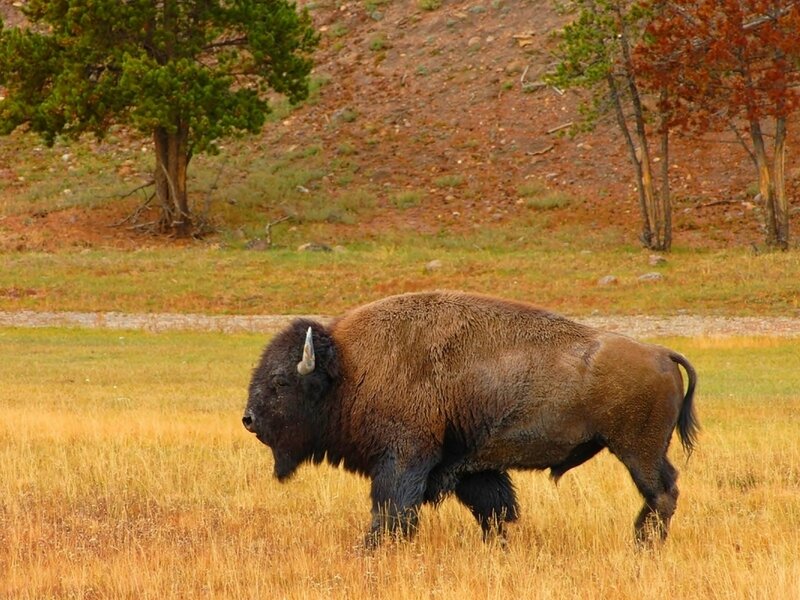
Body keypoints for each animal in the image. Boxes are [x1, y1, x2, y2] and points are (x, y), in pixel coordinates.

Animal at [242, 291, 698, 548]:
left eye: (281, 382)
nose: (248, 419)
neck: (350, 367)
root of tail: (660, 352)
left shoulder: (404, 459)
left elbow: (392, 511)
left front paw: (370, 549)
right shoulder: (471, 468)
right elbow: (493, 510)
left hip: (637, 451)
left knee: (663, 492)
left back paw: (643, 545)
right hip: (642, 451)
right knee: (663, 492)